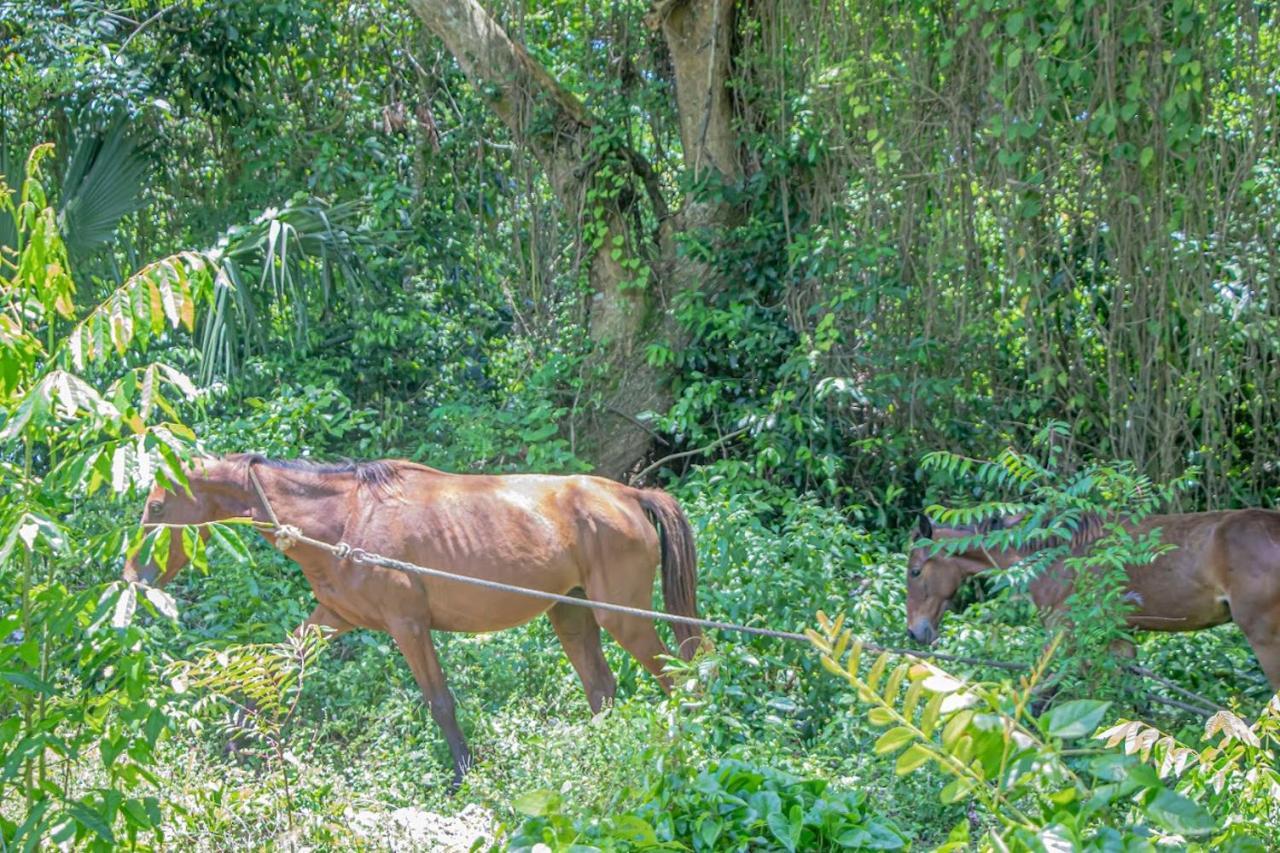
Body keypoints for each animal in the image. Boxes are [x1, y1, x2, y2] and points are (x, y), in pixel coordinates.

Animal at [124, 450, 706, 783]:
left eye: (156, 509)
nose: (133, 578)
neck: (344, 518)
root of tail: (628, 493)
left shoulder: (408, 627)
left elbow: (440, 702)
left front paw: (464, 777)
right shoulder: (332, 616)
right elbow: (279, 666)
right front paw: (239, 742)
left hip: (622, 616)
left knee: (680, 675)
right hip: (572, 615)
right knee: (602, 688)